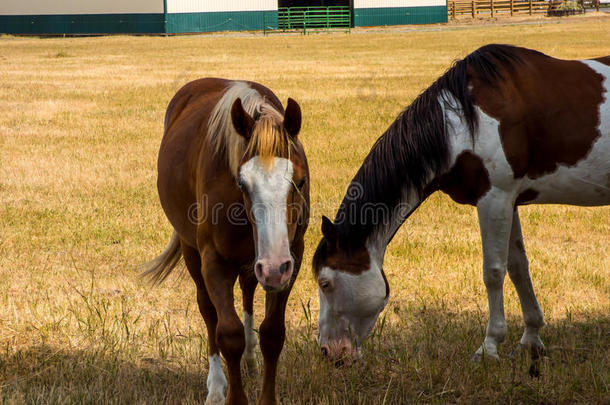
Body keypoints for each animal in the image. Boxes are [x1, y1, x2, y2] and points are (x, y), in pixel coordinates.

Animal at [144, 76, 308, 404]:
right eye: (242, 183)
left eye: (300, 181)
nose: (274, 266)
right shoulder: (215, 262)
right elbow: (228, 333)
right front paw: (231, 394)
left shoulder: (291, 258)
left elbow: (273, 333)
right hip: (193, 252)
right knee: (208, 312)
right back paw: (216, 386)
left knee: (247, 292)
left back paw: (251, 360)